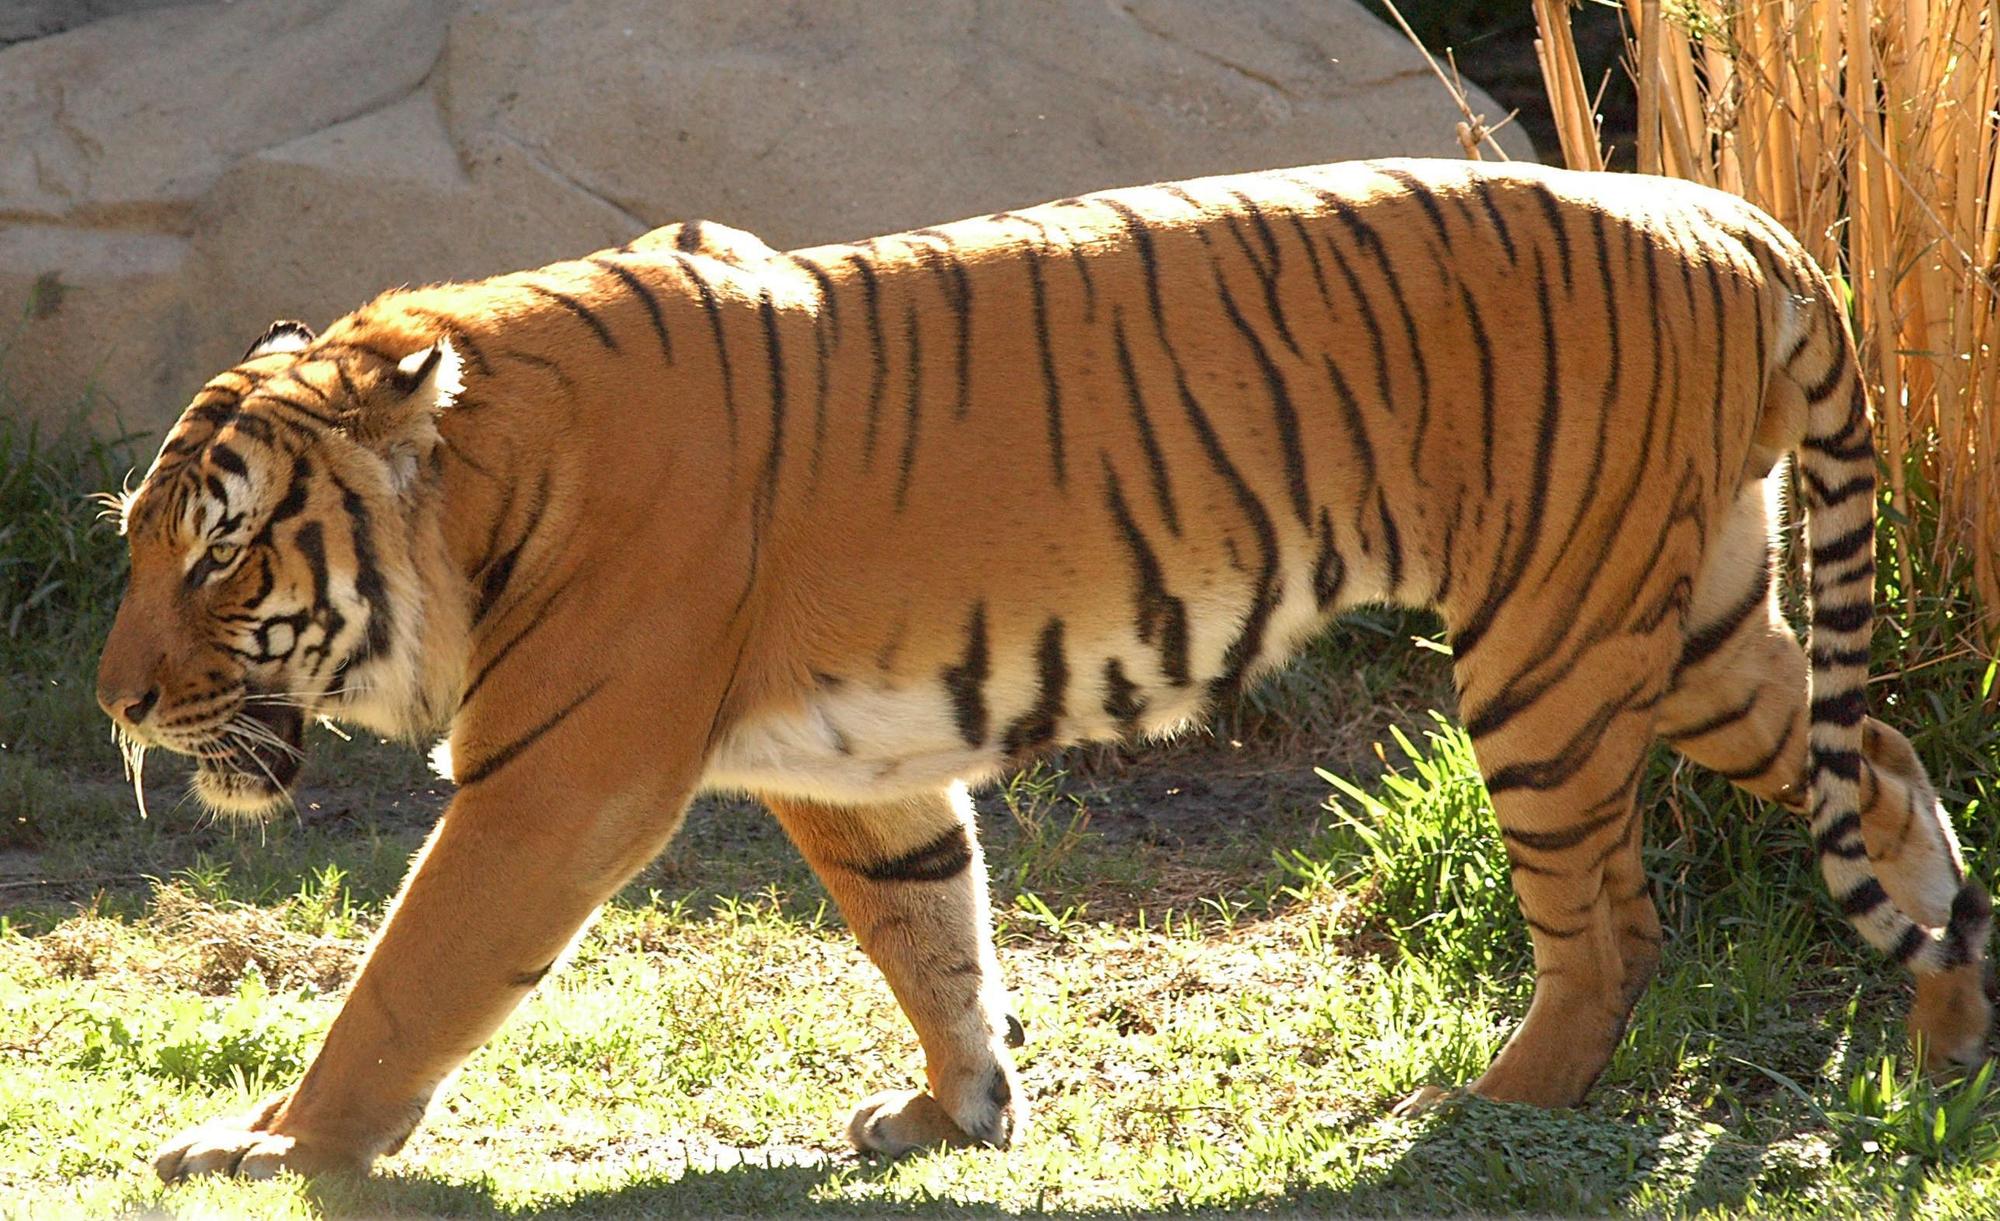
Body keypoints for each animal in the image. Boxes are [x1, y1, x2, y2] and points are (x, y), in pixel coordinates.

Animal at [96, 157, 1991, 1180]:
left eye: (221, 551)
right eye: (138, 540)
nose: (117, 701)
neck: (488, 473)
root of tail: (1734, 217)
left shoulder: (554, 781)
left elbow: (409, 978)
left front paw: (275, 1146)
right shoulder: (850, 769)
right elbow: (932, 930)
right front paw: (959, 1110)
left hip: (1552, 644)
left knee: (1613, 918)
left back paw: (1488, 1106)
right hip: (1692, 623)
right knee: (1890, 777)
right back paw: (1945, 1038)